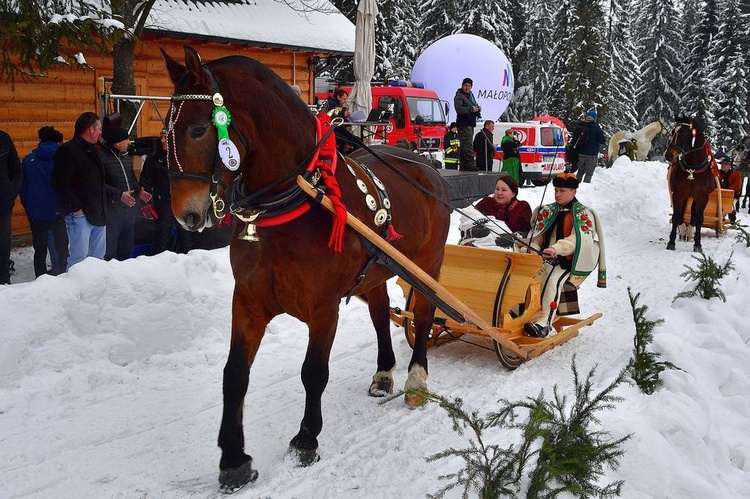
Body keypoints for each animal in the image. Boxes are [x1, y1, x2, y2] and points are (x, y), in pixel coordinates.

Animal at [161, 47, 450, 492]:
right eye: (165, 132)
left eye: (196, 129)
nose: (186, 215)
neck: (297, 199)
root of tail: (427, 166)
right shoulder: (248, 303)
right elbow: (234, 375)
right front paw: (233, 459)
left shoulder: (323, 308)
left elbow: (314, 372)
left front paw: (305, 440)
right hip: (376, 270)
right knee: (380, 313)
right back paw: (384, 371)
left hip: (426, 265)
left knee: (423, 313)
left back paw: (416, 379)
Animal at [668, 114, 720, 252]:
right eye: (673, 131)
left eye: (683, 132)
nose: (668, 155)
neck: (692, 168)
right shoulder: (678, 193)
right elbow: (676, 215)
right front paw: (671, 241)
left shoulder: (702, 197)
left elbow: (699, 218)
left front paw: (697, 244)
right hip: (686, 195)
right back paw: (683, 232)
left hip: (695, 197)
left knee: (692, 213)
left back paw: (690, 232)